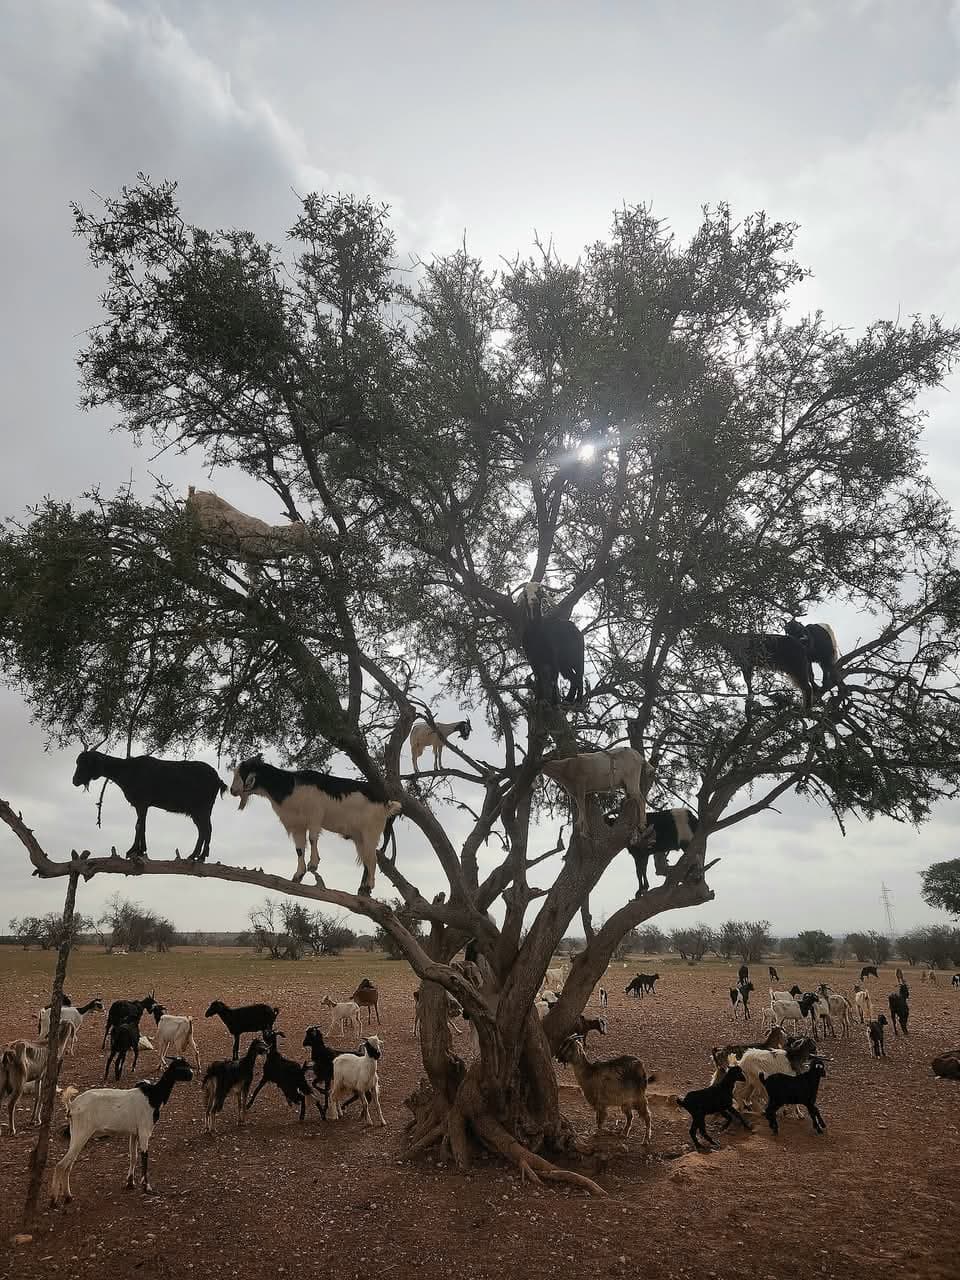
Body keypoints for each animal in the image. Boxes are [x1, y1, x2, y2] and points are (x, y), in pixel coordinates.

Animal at [51, 1057, 193, 1205]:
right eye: (181, 1067)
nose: (192, 1075)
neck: (153, 1096)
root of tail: (72, 1106)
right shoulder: (144, 1131)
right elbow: (144, 1157)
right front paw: (147, 1187)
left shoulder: (134, 1133)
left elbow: (133, 1157)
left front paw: (130, 1182)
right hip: (82, 1133)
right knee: (61, 1165)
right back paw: (54, 1200)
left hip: (75, 1133)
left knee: (68, 1165)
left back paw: (68, 1196)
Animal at [73, 750, 226, 863]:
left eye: (85, 763)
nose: (75, 781)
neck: (126, 771)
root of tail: (218, 780)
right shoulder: (141, 805)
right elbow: (141, 825)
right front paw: (139, 850)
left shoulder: (142, 802)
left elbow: (139, 825)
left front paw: (134, 851)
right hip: (199, 810)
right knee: (204, 830)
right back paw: (196, 855)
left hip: (201, 808)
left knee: (206, 829)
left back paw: (199, 856)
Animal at [231, 753, 401, 893]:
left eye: (243, 772)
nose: (232, 790)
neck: (290, 786)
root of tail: (387, 803)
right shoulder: (297, 826)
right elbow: (299, 849)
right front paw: (298, 875)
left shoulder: (314, 817)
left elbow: (312, 839)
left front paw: (313, 864)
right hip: (359, 836)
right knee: (367, 858)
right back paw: (363, 888)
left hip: (371, 832)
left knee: (372, 858)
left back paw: (369, 885)